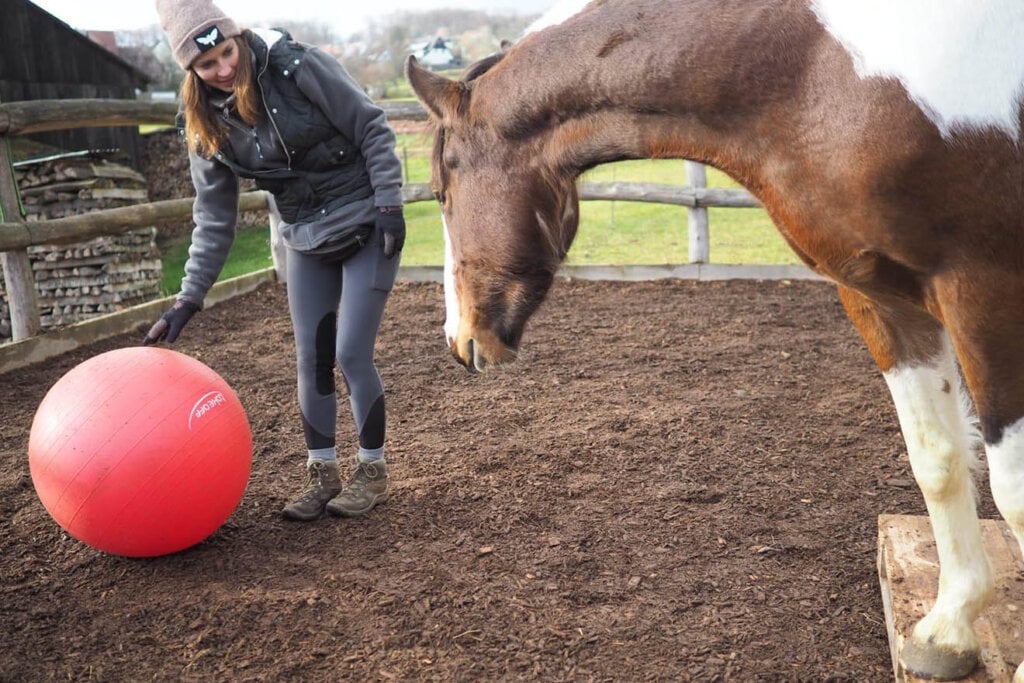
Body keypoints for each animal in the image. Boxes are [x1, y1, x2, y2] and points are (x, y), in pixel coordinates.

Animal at [405, 0, 1024, 679]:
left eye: (440, 191)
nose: (459, 340)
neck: (819, 71)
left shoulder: (986, 291)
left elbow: (1014, 491)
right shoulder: (882, 298)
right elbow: (938, 461)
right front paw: (950, 628)